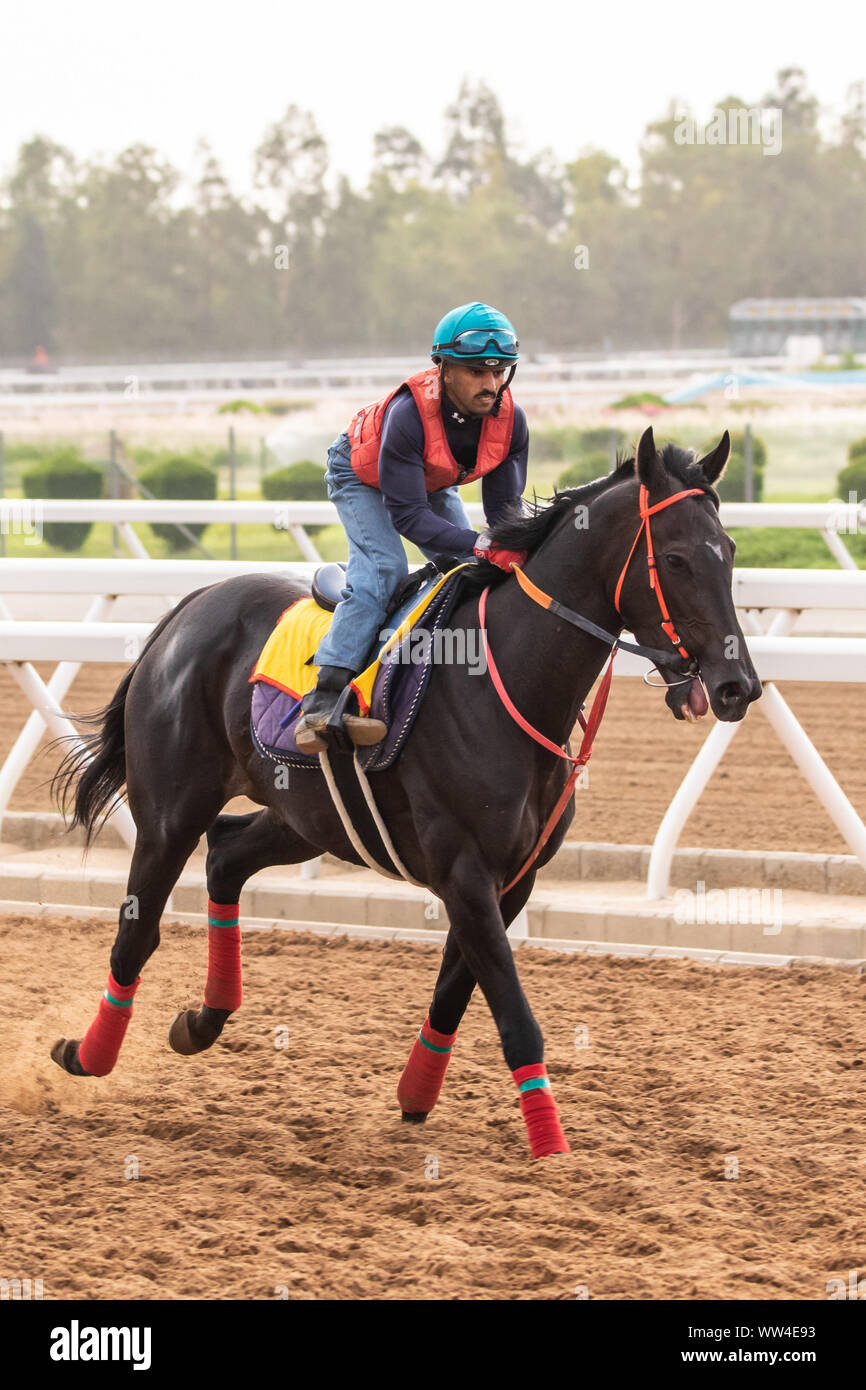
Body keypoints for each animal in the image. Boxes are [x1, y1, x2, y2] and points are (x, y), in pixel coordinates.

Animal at [50, 426, 760, 1158]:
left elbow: (456, 992)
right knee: (138, 932)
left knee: (225, 855)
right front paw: (551, 1146)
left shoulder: (513, 878)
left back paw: (203, 1018)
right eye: (675, 559)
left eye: (730, 552)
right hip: (171, 812)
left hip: (307, 817)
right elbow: (514, 1013)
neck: (504, 676)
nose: (736, 685)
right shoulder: (465, 872)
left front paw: (415, 1094)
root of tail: (192, 604)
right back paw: (89, 1053)